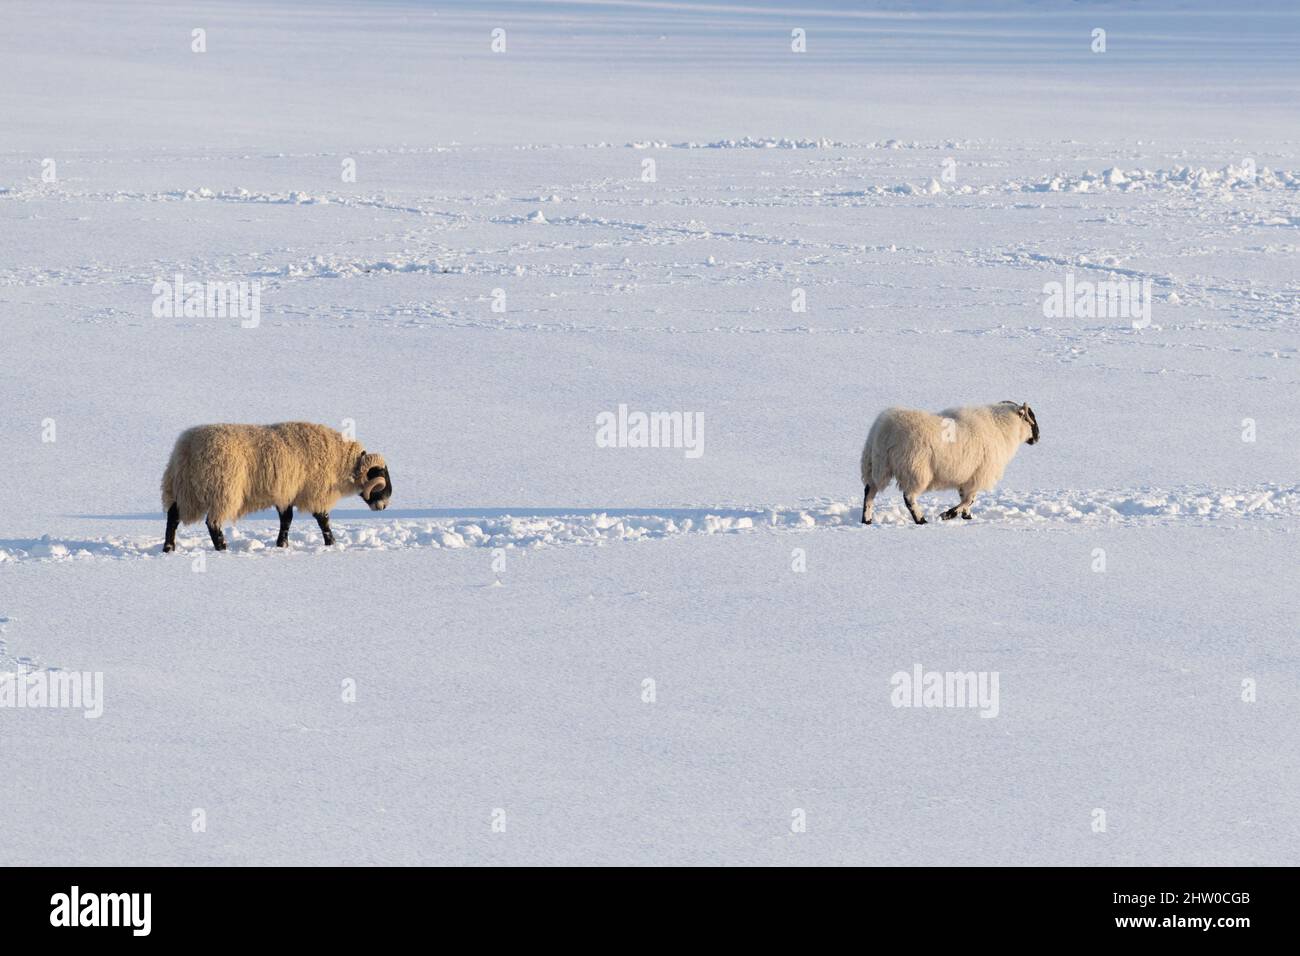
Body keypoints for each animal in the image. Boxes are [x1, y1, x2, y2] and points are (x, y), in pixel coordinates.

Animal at [161, 424, 390, 554]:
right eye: (378, 477)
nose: (384, 506)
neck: (342, 461)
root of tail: (187, 448)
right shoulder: (313, 491)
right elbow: (322, 519)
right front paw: (331, 543)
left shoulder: (286, 491)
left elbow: (286, 519)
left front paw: (282, 545)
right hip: (222, 490)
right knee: (212, 524)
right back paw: (222, 549)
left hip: (185, 490)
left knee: (173, 516)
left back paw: (168, 548)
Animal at [857, 403, 1040, 528]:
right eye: (1031, 419)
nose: (1038, 437)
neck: (1001, 428)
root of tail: (885, 430)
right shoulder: (978, 474)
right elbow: (969, 499)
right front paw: (948, 514)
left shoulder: (967, 477)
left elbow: (966, 498)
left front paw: (966, 517)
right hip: (914, 469)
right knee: (909, 497)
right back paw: (921, 520)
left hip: (874, 465)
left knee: (869, 491)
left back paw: (867, 520)